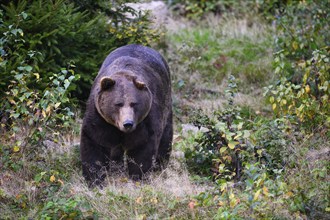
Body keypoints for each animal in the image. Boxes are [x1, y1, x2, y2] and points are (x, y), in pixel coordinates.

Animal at [80, 43, 173, 185]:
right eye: (118, 104)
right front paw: (95, 179)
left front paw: (138, 176)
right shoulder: (99, 117)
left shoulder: (146, 120)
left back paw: (160, 165)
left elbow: (142, 147)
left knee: (166, 135)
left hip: (166, 100)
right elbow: (95, 143)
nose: (128, 123)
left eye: (134, 103)